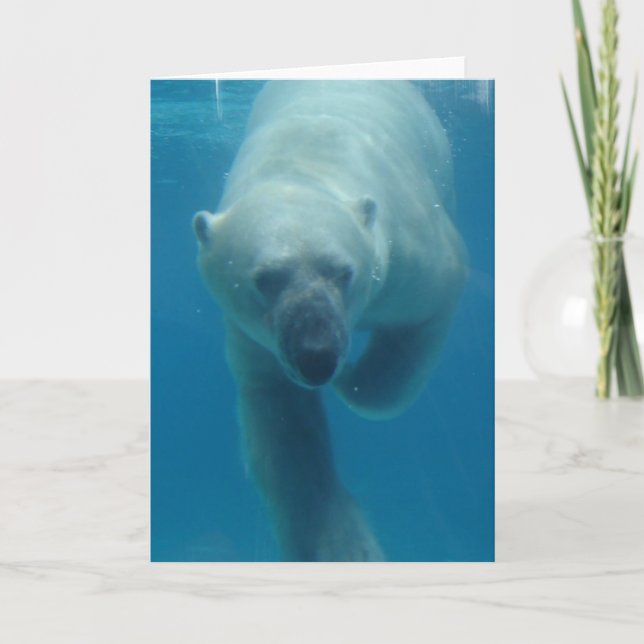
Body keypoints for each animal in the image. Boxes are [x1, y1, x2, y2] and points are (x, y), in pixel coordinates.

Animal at [193, 80, 467, 562]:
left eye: (343, 272)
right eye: (264, 279)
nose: (318, 357)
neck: (301, 164)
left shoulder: (412, 253)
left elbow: (413, 341)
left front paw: (354, 380)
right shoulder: (254, 335)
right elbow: (286, 430)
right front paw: (343, 549)